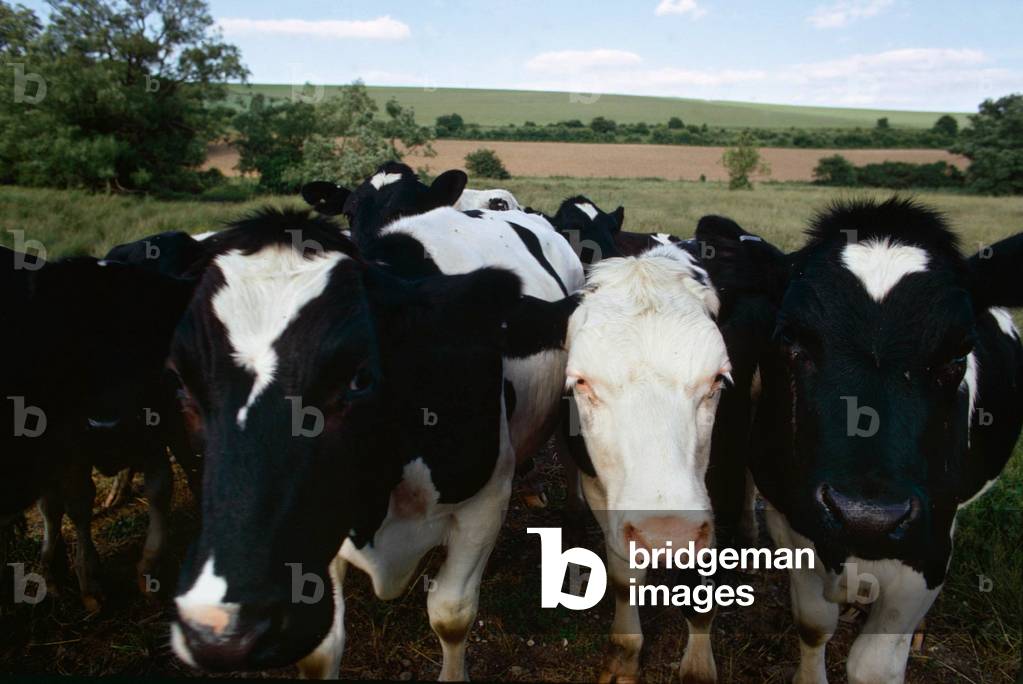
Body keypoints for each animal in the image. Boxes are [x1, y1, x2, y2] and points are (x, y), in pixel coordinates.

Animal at [1, 245, 196, 610]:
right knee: (51, 508)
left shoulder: (153, 432)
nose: (106, 420)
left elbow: (160, 488)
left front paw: (150, 569)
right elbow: (77, 504)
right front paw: (89, 579)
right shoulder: (72, 450)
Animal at [169, 201, 583, 679]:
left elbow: (452, 614)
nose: (222, 633)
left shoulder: (485, 501)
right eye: (181, 382)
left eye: (359, 377)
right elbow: (321, 649)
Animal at [695, 197, 1023, 684]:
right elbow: (814, 623)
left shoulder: (928, 545)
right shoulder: (793, 522)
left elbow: (873, 665)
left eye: (958, 353)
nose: (866, 516)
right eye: (790, 337)